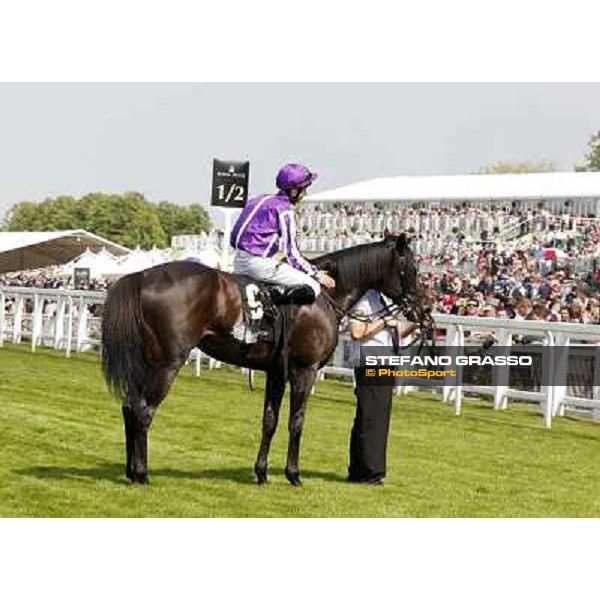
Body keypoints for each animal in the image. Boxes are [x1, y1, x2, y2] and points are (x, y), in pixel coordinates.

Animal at [101, 232, 424, 486]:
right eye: (411, 267)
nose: (421, 307)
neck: (323, 298)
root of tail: (142, 276)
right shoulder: (304, 371)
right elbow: (296, 421)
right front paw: (293, 474)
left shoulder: (276, 372)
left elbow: (270, 420)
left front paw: (262, 472)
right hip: (167, 363)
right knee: (144, 410)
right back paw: (142, 474)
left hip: (146, 362)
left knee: (129, 406)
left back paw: (131, 471)